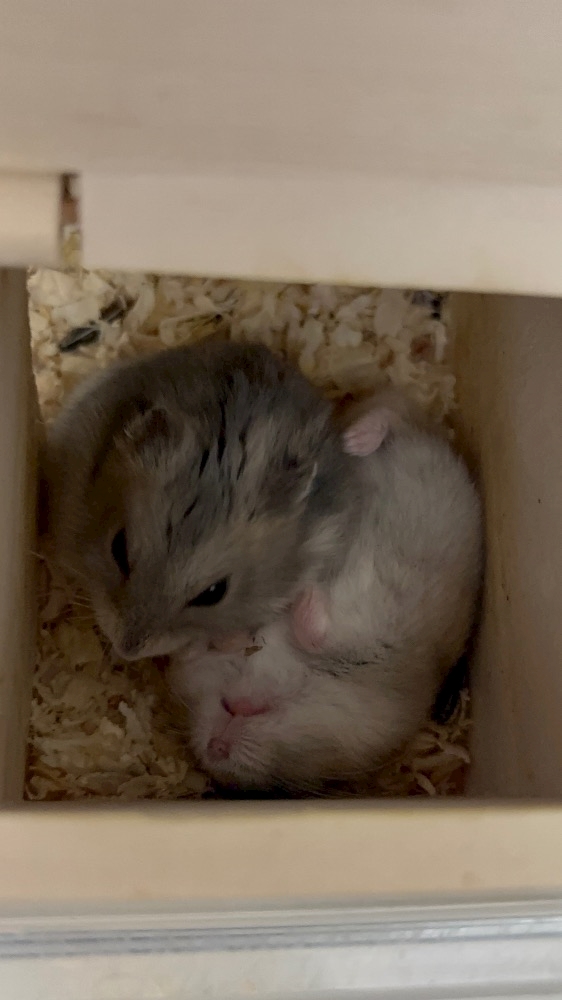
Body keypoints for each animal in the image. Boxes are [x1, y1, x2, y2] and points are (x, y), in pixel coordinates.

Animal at [170, 390, 482, 794]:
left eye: (284, 784)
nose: (216, 751)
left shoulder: (373, 648)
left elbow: (316, 632)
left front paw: (305, 596)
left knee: (395, 415)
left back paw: (354, 441)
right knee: (390, 411)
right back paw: (349, 443)